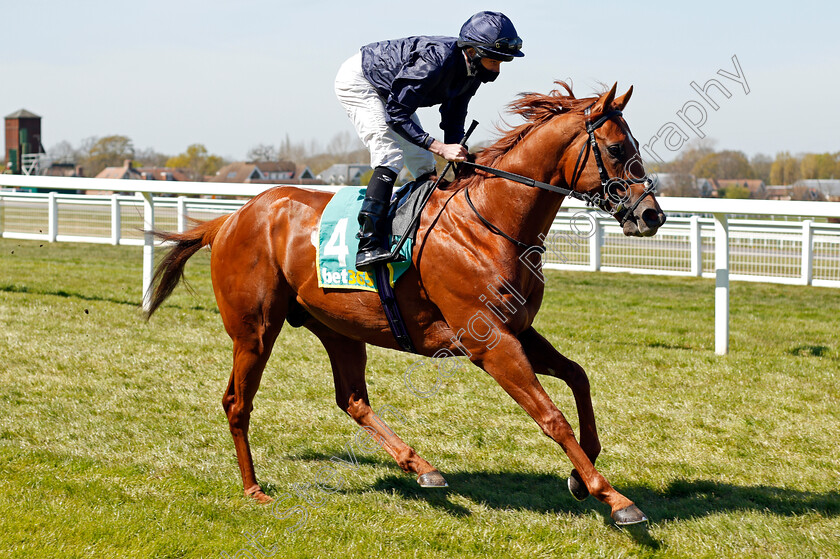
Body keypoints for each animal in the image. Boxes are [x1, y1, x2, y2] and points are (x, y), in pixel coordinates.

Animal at [148, 82, 668, 524]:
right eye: (617, 149)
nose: (652, 215)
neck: (492, 222)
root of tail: (229, 219)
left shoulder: (517, 330)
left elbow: (578, 376)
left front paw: (581, 476)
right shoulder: (491, 344)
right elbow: (551, 416)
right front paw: (613, 496)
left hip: (337, 327)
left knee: (352, 399)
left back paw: (421, 466)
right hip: (254, 330)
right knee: (237, 402)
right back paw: (254, 488)